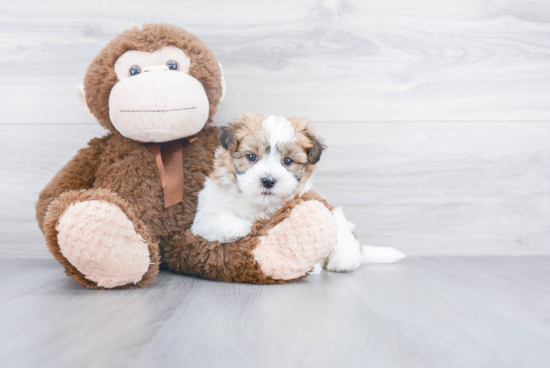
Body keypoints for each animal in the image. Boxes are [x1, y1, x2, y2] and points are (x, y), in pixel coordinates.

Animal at [193, 113, 406, 272]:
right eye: (251, 157)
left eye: (288, 161)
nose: (268, 181)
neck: (260, 204)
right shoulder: (205, 215)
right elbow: (218, 217)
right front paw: (237, 226)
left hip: (336, 217)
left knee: (347, 242)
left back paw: (343, 261)